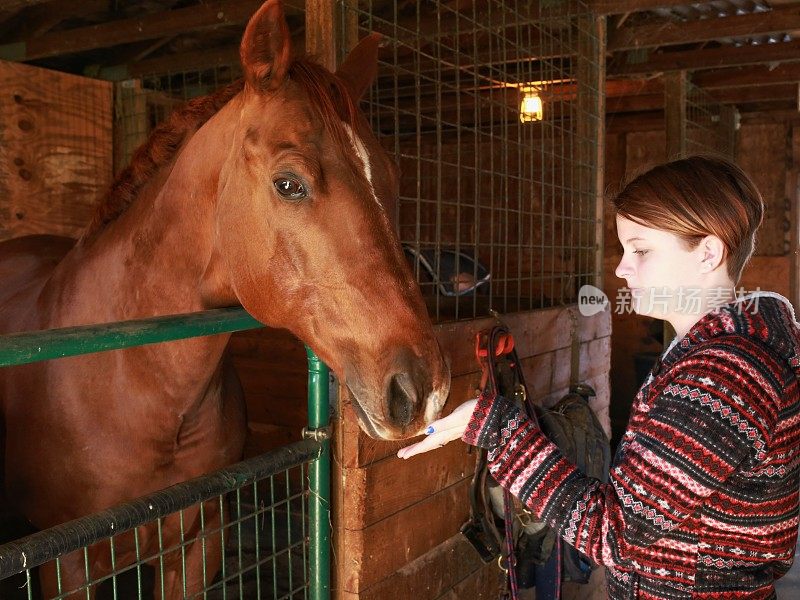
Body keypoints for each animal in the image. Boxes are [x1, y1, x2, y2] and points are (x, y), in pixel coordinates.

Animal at [0, 2, 450, 596]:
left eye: (393, 179)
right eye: (289, 184)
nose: (422, 387)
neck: (129, 384)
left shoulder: (200, 541)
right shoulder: (64, 566)